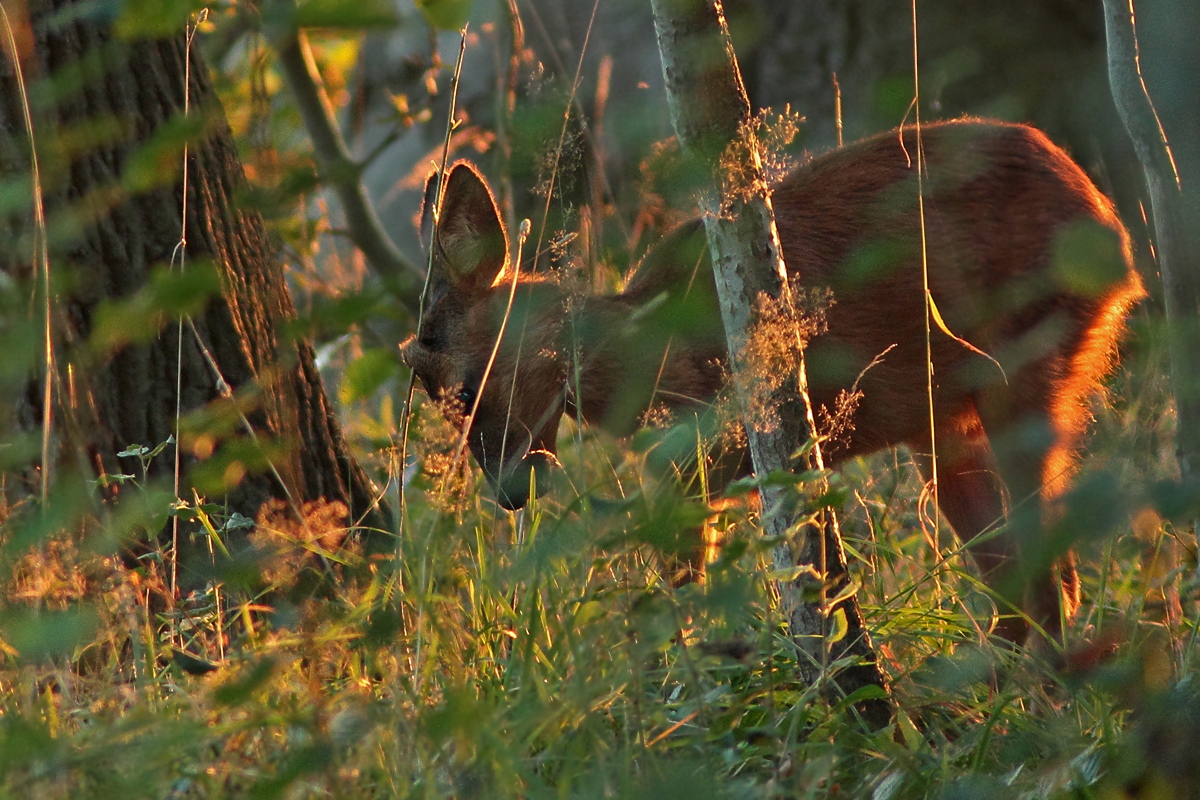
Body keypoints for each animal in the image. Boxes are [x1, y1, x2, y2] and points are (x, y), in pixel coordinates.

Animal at [403, 118, 1142, 642]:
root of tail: (1112, 226)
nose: (509, 493)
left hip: (1027, 358)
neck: (649, 350)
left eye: (464, 388)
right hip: (945, 420)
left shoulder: (733, 440)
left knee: (1048, 583)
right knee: (1028, 584)